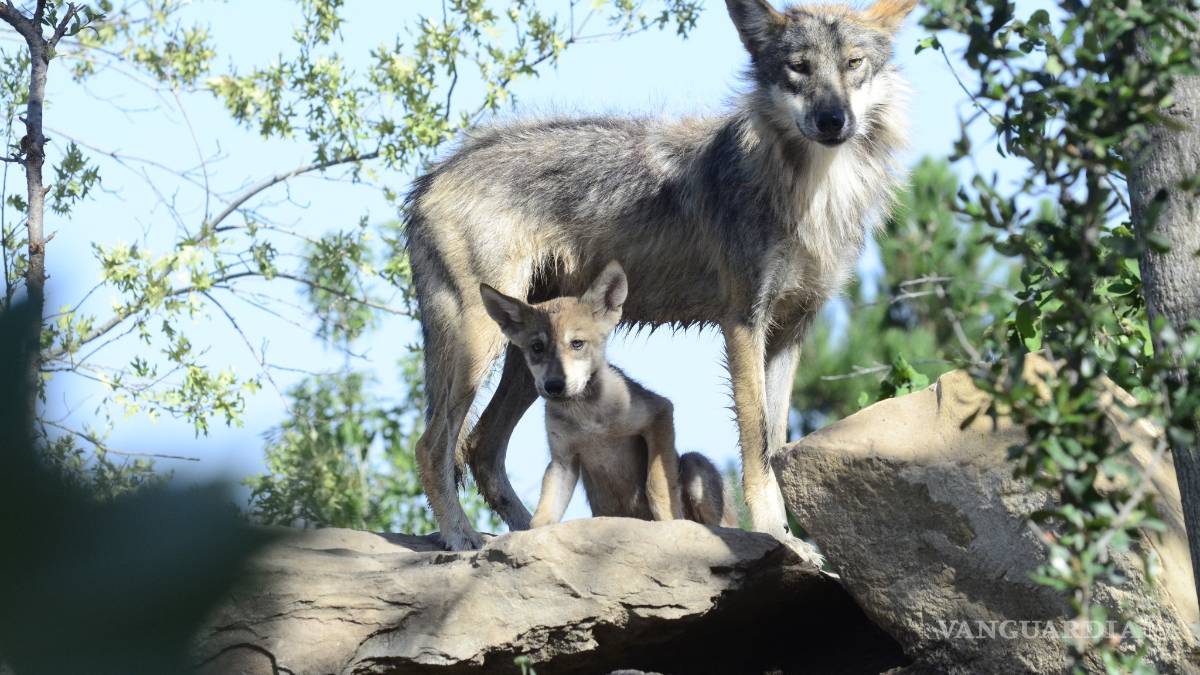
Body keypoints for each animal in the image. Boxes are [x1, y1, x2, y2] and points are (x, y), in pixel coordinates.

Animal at [479, 261, 737, 529]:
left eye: (577, 343)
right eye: (537, 348)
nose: (554, 386)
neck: (586, 416)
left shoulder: (660, 412)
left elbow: (657, 485)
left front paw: (669, 522)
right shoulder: (563, 460)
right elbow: (544, 512)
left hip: (694, 463)